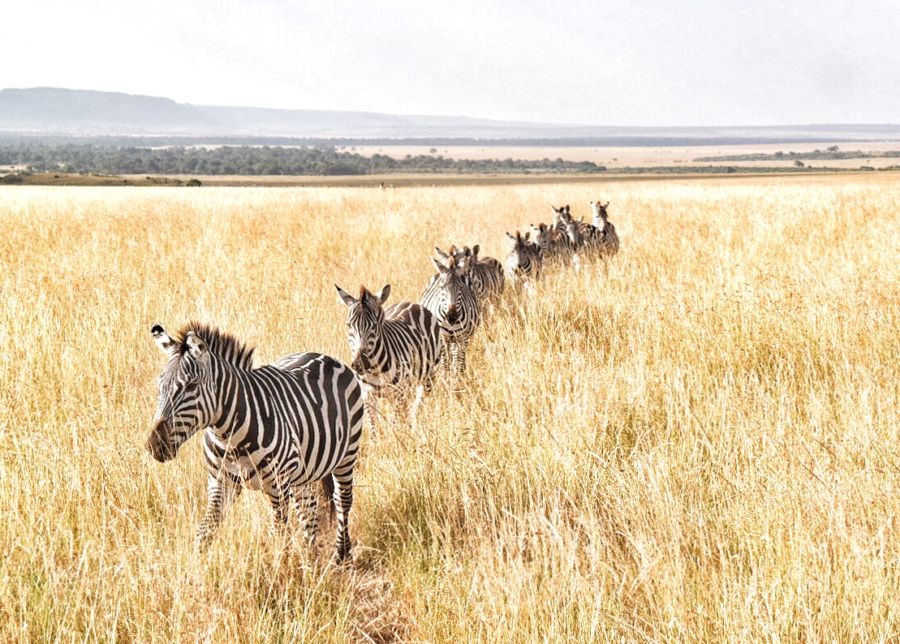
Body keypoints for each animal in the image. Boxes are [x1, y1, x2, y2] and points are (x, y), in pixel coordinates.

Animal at [146, 322, 364, 560]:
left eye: (191, 386)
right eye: (159, 385)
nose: (154, 445)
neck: (229, 438)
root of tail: (323, 356)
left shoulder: (278, 485)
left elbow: (279, 534)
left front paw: (282, 565)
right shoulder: (220, 482)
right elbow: (205, 531)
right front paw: (198, 565)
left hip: (346, 455)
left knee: (342, 501)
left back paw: (341, 555)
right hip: (302, 473)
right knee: (309, 510)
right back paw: (310, 558)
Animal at [334, 284, 442, 430]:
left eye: (374, 325)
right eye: (349, 325)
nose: (359, 364)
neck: (375, 370)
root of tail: (411, 303)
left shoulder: (399, 393)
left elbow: (396, 424)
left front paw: (401, 435)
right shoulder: (367, 396)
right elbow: (374, 428)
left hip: (428, 376)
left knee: (419, 405)